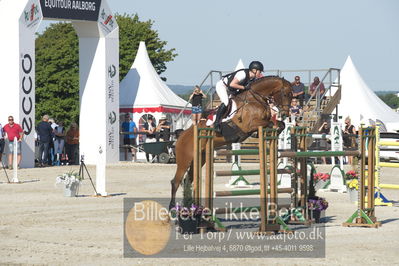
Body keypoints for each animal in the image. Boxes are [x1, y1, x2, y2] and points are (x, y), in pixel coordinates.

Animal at [169, 76, 294, 209]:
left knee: (189, 180)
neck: (255, 99)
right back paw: (173, 207)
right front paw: (264, 132)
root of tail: (181, 136)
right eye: (285, 94)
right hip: (185, 160)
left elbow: (280, 124)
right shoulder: (249, 125)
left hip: (199, 159)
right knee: (176, 181)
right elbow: (269, 123)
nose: (285, 114)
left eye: (292, 96)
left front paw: (276, 131)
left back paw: (190, 205)